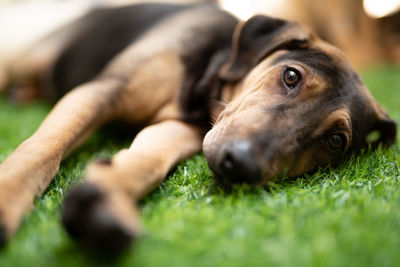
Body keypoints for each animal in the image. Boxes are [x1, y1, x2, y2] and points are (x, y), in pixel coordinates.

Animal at [0, 2, 396, 255]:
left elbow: (148, 160)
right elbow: (43, 149)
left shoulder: (182, 128)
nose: (239, 164)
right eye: (291, 75)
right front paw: (8, 197)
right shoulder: (100, 91)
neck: (210, 67)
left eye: (335, 141)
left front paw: (107, 202)